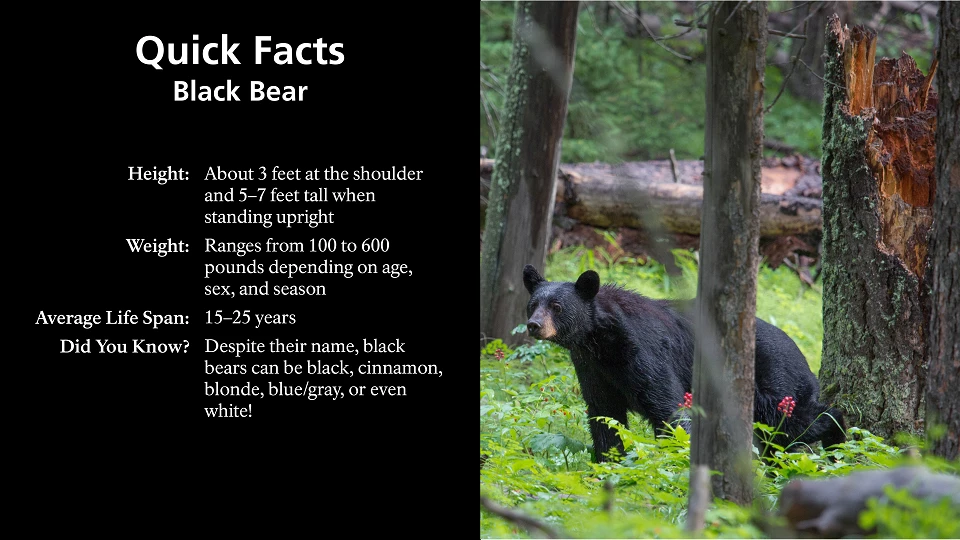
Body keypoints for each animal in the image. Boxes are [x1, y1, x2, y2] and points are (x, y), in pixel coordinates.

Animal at [522, 264, 846, 462]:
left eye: (557, 306)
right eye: (533, 304)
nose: (534, 325)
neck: (601, 339)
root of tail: (802, 357)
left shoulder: (645, 353)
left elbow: (669, 407)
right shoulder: (592, 368)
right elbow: (604, 415)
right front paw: (608, 463)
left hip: (774, 383)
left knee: (794, 424)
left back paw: (838, 440)